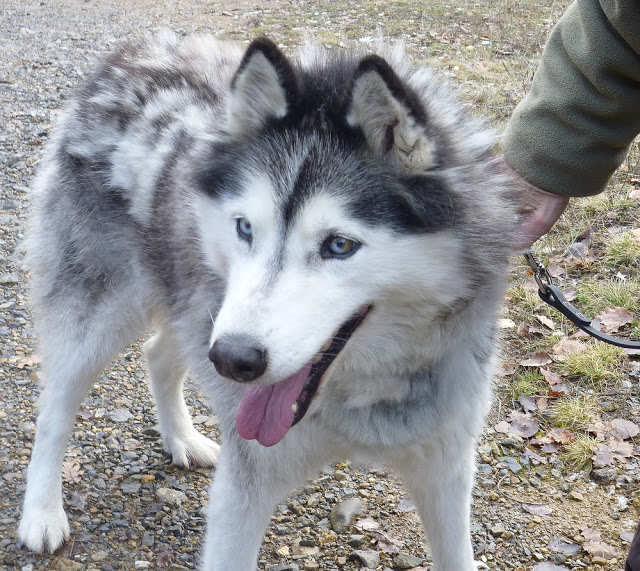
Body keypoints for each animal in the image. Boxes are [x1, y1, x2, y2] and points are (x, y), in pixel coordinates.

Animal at [20, 32, 516, 571]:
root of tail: (136, 51)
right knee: (55, 410)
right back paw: (41, 512)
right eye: (245, 228)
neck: (360, 394)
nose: (234, 360)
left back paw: (182, 438)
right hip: (105, 319)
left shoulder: (446, 467)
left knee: (158, 353)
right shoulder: (244, 487)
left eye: (339, 245)